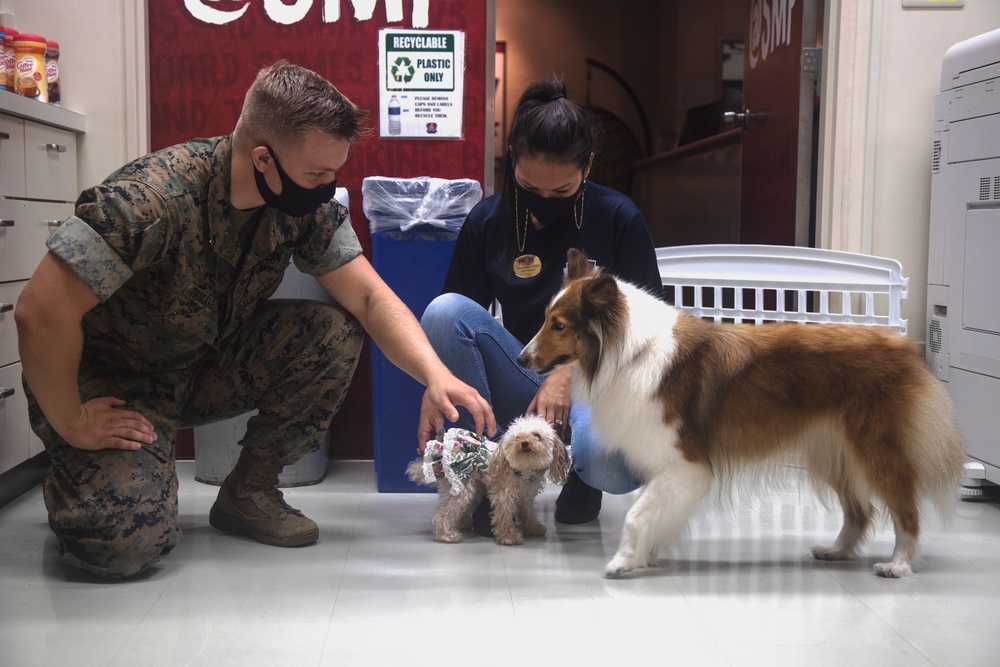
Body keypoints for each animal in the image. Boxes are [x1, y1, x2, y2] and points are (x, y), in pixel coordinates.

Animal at [404, 418, 564, 548]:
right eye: (517, 437)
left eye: (537, 435)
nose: (524, 443)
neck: (523, 468)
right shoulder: (503, 495)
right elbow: (504, 516)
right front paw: (508, 537)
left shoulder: (526, 496)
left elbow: (528, 513)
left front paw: (533, 527)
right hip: (462, 489)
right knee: (441, 516)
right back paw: (447, 535)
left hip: (474, 488)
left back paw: (462, 524)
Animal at [520, 250, 964, 580]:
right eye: (544, 319)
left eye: (559, 325)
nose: (522, 358)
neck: (632, 351)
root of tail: (906, 347)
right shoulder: (665, 464)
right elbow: (652, 511)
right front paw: (646, 554)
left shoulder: (686, 462)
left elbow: (636, 514)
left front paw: (623, 561)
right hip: (833, 451)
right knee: (861, 511)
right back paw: (836, 551)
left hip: (875, 450)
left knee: (907, 510)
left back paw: (898, 564)